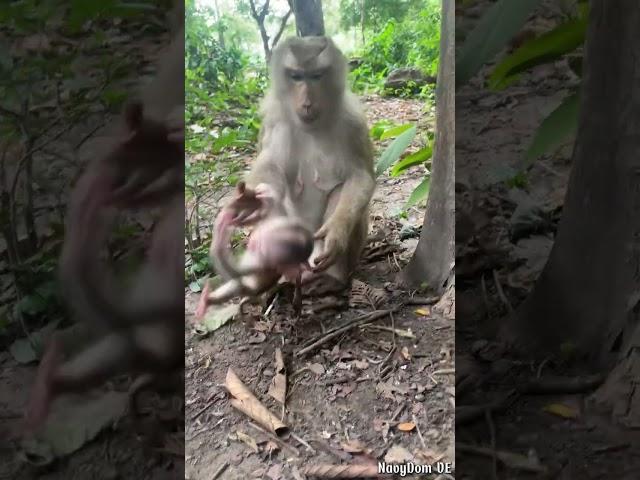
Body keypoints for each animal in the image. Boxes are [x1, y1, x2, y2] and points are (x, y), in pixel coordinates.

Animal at [238, 36, 376, 292]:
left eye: (317, 75)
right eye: (296, 76)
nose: (307, 102)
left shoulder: (352, 119)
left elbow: (360, 177)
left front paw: (336, 233)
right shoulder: (274, 121)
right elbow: (269, 167)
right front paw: (253, 199)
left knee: (340, 191)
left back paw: (332, 279)